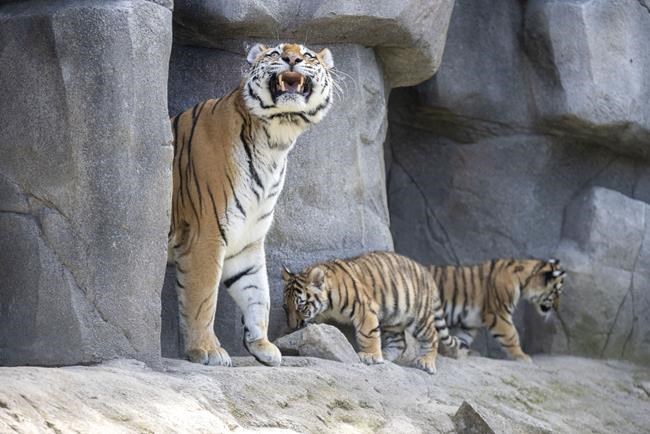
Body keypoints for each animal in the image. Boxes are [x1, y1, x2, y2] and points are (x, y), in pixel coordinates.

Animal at [169, 43, 335, 367]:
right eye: (276, 52)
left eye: (308, 55)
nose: (292, 58)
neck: (275, 141)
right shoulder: (205, 234)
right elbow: (203, 297)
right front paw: (206, 350)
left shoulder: (247, 240)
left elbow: (258, 293)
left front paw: (262, 345)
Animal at [282, 251, 459, 374]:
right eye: (286, 308)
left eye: (300, 307)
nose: (292, 326)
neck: (328, 304)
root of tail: (426, 272)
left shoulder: (364, 308)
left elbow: (367, 334)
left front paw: (370, 356)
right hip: (393, 318)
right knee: (400, 343)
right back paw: (386, 355)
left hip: (419, 317)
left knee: (432, 336)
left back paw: (426, 362)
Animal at [430, 258, 565, 363]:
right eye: (557, 293)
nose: (557, 308)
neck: (523, 283)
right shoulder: (499, 314)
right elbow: (511, 335)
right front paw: (522, 356)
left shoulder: (470, 322)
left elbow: (463, 338)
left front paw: (457, 353)